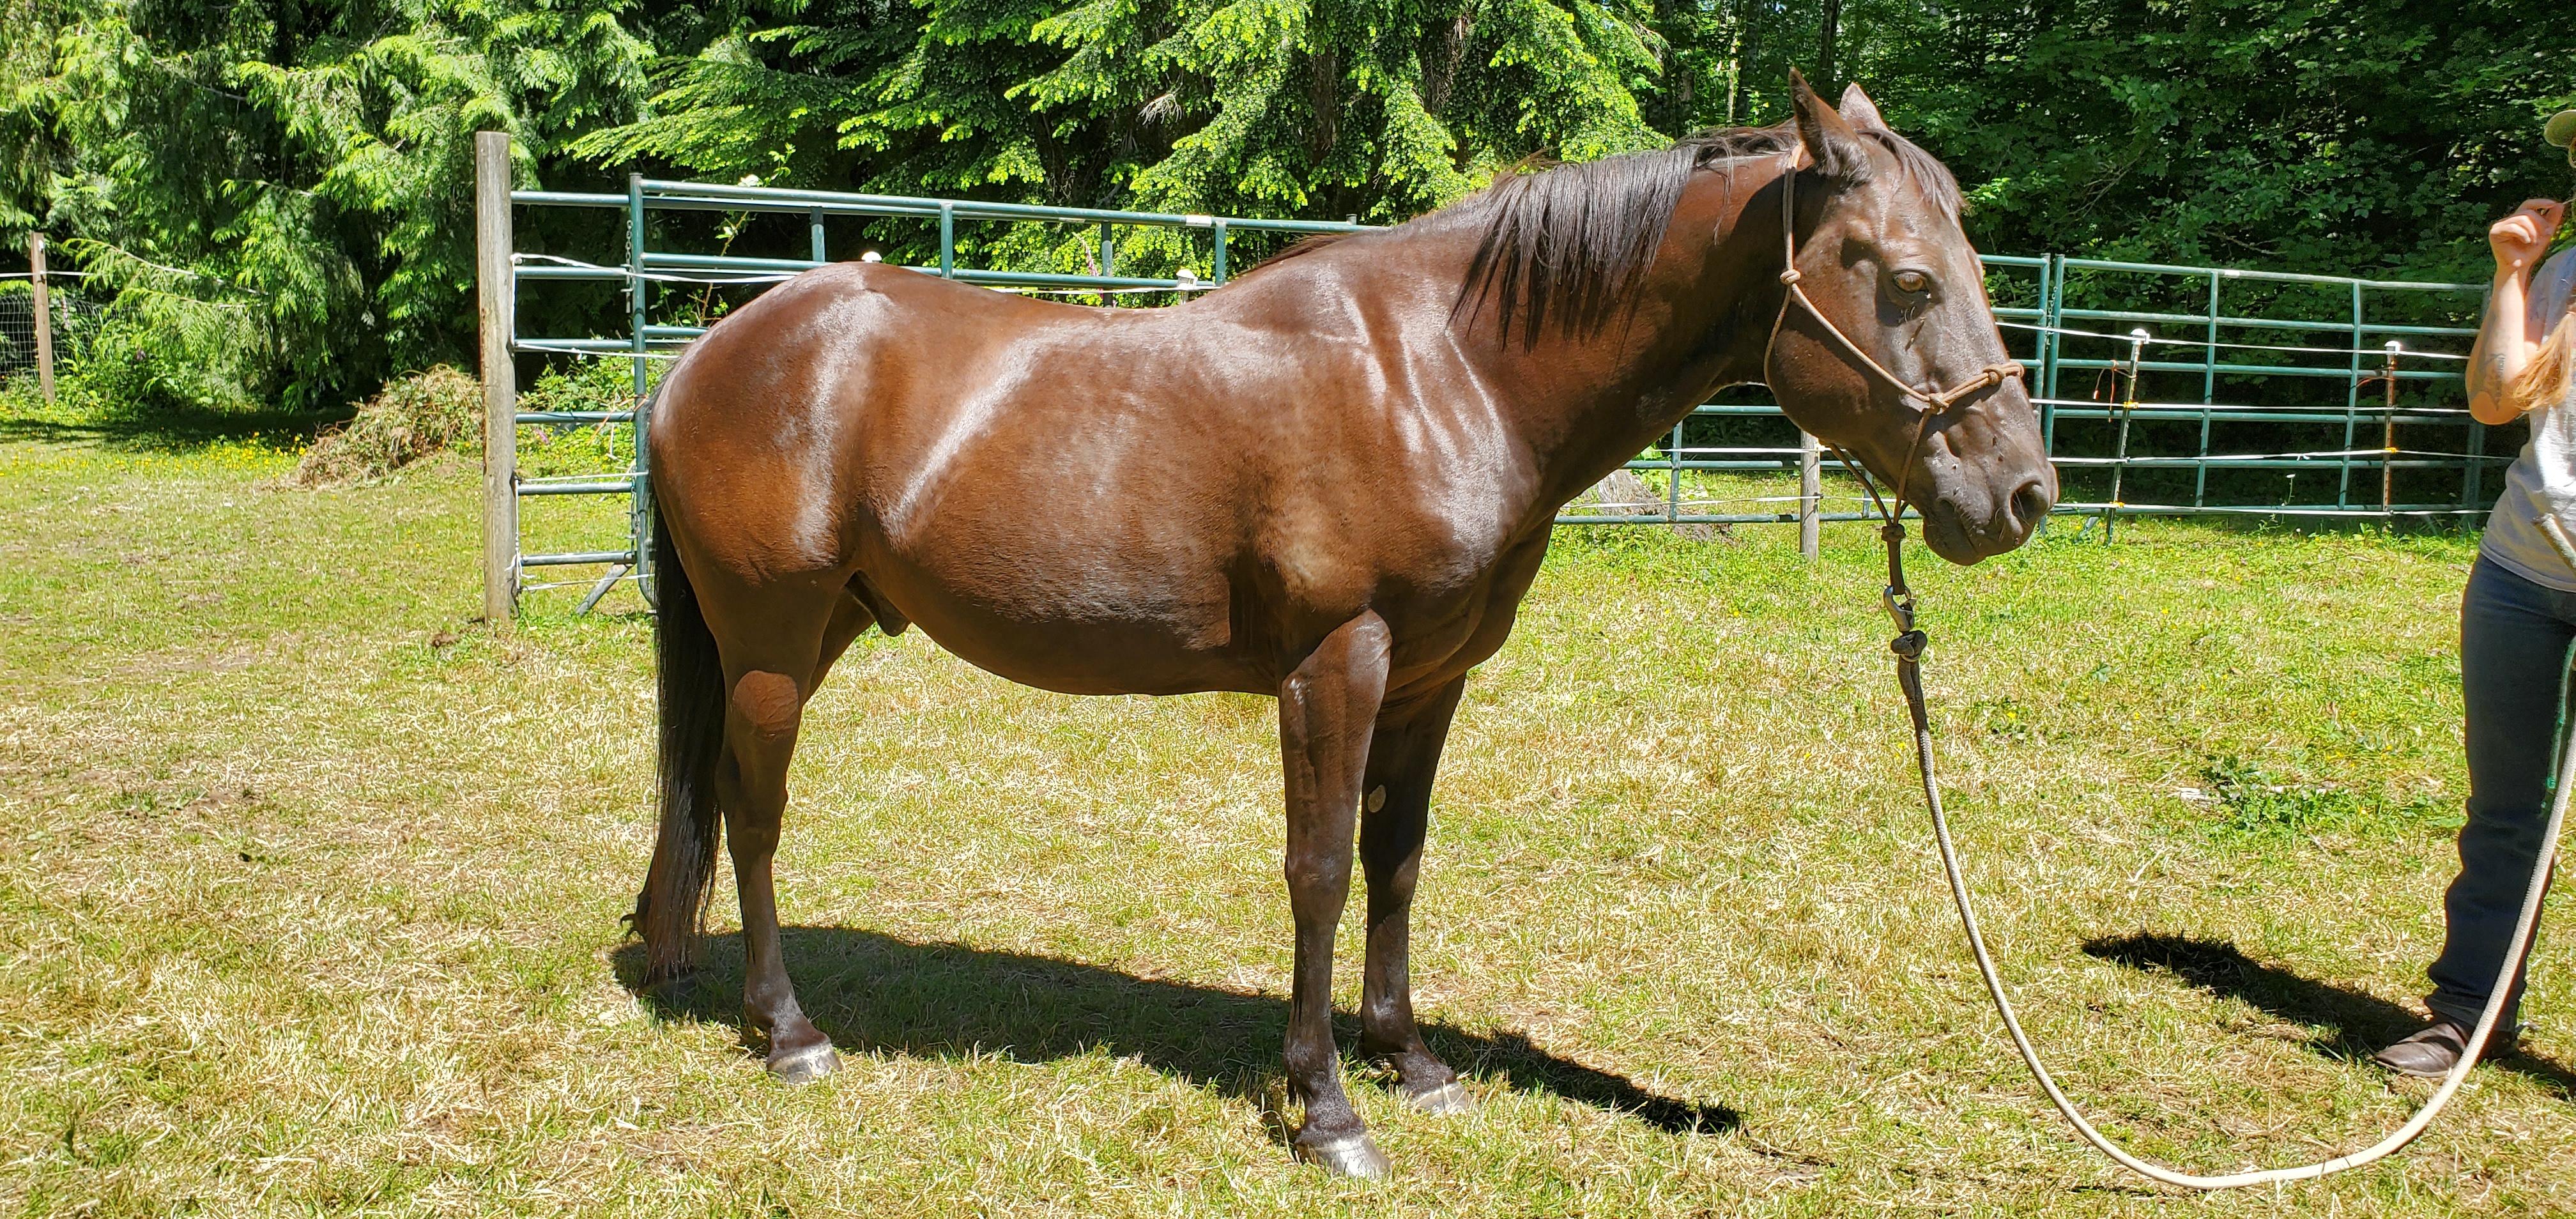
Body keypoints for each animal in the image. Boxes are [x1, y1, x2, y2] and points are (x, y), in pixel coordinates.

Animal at [629, 72, 2056, 1177]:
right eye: (1909, 281)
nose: (2022, 495)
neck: (1447, 371)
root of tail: (705, 354)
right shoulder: (1337, 666)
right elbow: (1317, 870)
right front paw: (1324, 1111)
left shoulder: (1430, 680)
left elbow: (1396, 859)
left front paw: (1408, 1058)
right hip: (770, 644)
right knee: (753, 815)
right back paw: (790, 1033)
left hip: (811, 631)